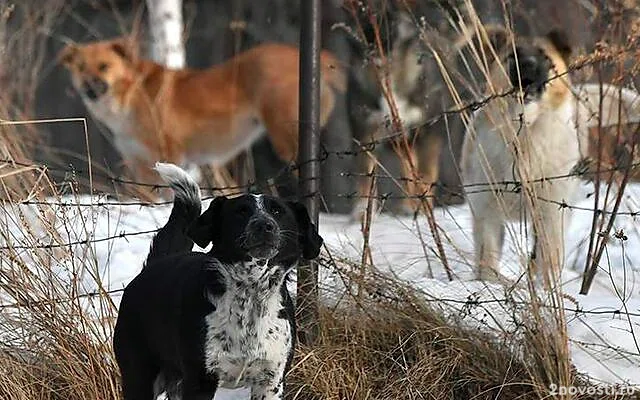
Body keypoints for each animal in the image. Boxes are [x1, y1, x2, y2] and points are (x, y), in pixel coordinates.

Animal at [60, 37, 344, 195]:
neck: (130, 93)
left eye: (104, 66)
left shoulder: (169, 154)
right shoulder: (138, 161)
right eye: (81, 68)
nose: (89, 88)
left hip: (285, 136)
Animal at [113, 162, 322, 400]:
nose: (264, 225)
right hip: (140, 376)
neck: (251, 293)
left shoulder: (271, 381)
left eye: (278, 211)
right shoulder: (200, 381)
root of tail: (154, 265)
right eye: (241, 212)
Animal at [460, 27, 640, 284]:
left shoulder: (551, 215)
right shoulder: (486, 210)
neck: (525, 134)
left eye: (545, 57)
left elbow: (548, 262)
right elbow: (488, 258)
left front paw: (547, 291)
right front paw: (488, 284)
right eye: (512, 55)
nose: (527, 66)